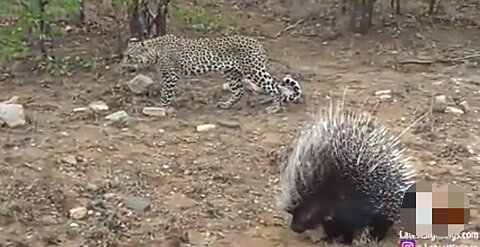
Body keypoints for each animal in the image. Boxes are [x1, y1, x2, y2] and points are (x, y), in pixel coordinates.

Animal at [118, 33, 302, 114]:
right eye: (125, 55)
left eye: (129, 56)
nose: (121, 65)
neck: (155, 51)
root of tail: (258, 43)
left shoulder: (170, 76)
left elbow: (166, 93)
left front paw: (160, 106)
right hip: (230, 72)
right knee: (239, 91)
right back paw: (226, 105)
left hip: (254, 70)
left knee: (275, 88)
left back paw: (275, 108)